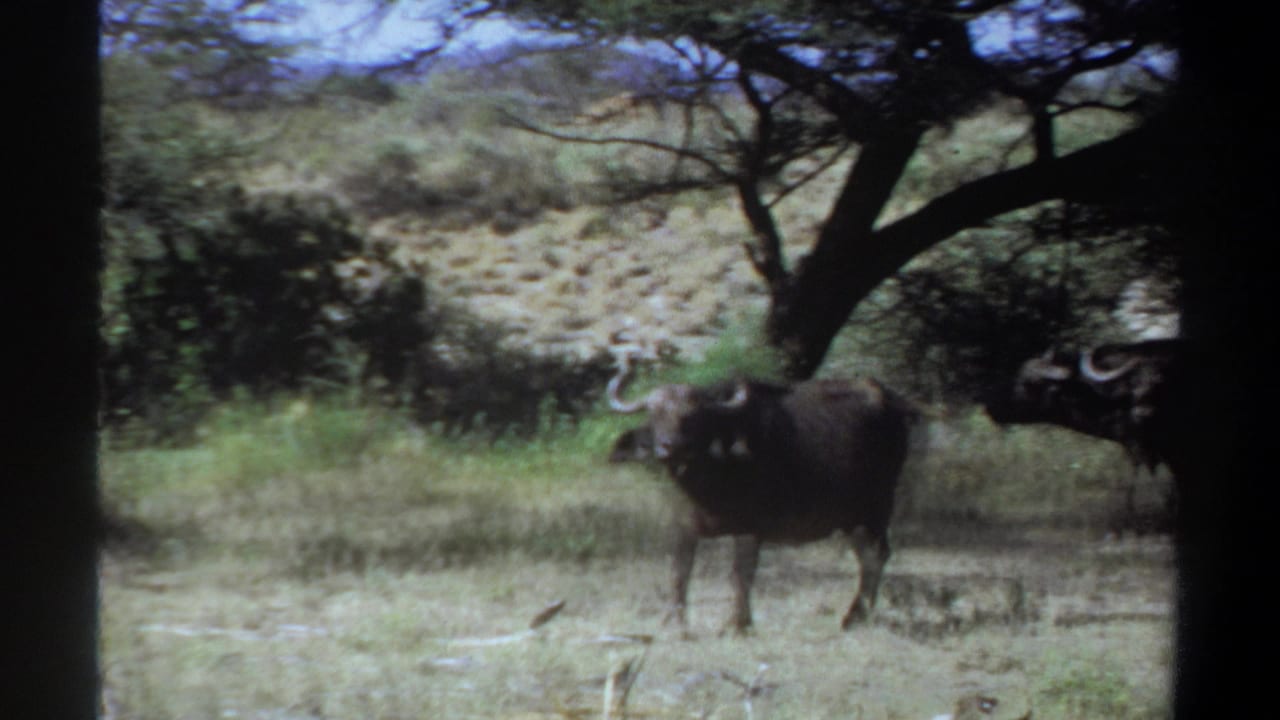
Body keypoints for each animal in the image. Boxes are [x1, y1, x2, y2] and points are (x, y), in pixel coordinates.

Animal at [606, 354, 920, 633]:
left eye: (692, 417)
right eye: (655, 415)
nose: (670, 447)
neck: (705, 481)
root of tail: (891, 401)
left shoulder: (750, 528)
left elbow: (741, 574)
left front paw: (738, 623)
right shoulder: (683, 527)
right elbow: (679, 573)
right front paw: (675, 622)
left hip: (875, 508)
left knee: (875, 556)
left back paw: (855, 617)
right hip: (852, 519)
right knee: (868, 557)